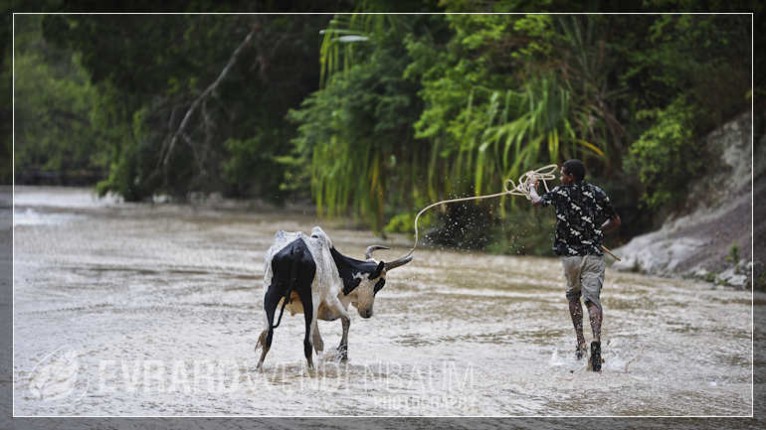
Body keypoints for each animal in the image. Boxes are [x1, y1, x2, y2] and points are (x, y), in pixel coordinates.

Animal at [256, 225, 414, 370]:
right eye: (380, 284)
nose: (368, 312)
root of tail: (297, 250)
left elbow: (319, 342)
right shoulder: (330, 300)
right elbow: (346, 320)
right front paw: (342, 354)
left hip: (270, 295)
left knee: (268, 337)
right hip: (310, 299)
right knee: (306, 343)